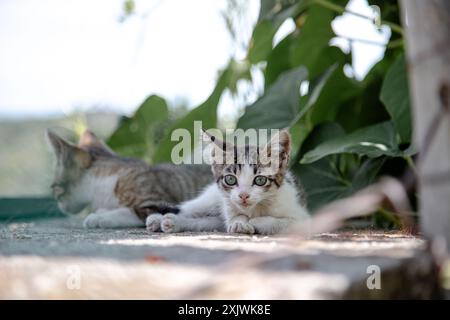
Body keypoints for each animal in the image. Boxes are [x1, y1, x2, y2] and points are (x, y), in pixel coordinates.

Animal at [47, 129, 213, 229]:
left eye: (54, 186)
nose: (59, 205)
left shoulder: (156, 202)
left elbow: (130, 212)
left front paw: (100, 217)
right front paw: (102, 211)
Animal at [148, 129, 310, 235]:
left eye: (260, 180)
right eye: (231, 179)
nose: (243, 195)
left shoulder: (304, 217)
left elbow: (286, 222)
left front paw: (255, 222)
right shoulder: (228, 203)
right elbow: (233, 218)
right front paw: (240, 222)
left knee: (207, 222)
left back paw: (172, 222)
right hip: (211, 199)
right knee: (189, 209)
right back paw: (158, 219)